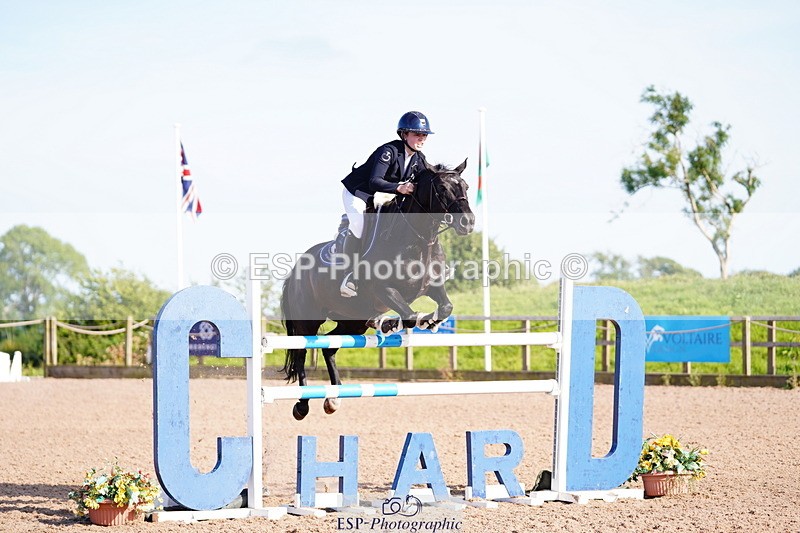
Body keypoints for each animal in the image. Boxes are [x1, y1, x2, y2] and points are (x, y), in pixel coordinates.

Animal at [279, 159, 475, 420]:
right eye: (442, 188)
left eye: (465, 186)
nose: (468, 223)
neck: (418, 240)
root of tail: (295, 270)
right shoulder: (384, 290)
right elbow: (409, 314)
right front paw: (405, 321)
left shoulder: (430, 286)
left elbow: (445, 306)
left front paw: (428, 321)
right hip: (308, 320)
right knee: (301, 354)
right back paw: (302, 405)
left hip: (351, 321)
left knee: (330, 348)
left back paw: (334, 398)